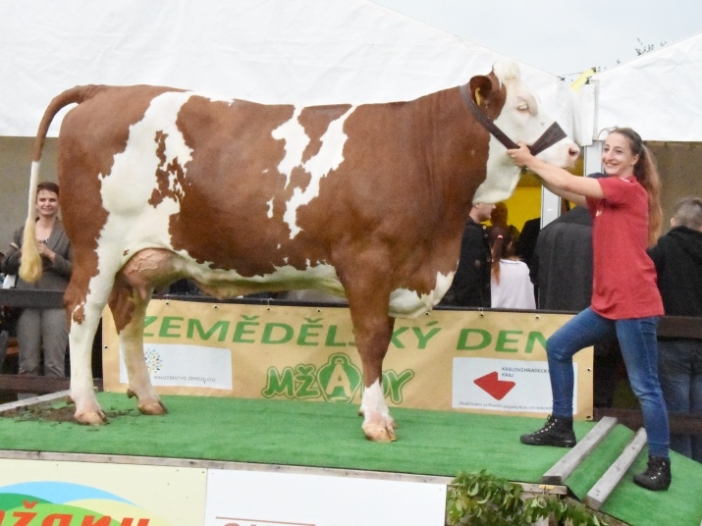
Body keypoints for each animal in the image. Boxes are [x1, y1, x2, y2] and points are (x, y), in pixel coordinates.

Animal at [22, 60, 580, 442]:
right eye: (523, 107)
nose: (574, 150)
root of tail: (104, 91)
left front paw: (373, 411)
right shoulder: (368, 264)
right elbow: (373, 340)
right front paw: (377, 420)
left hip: (145, 259)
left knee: (128, 315)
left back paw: (148, 398)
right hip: (98, 249)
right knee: (83, 312)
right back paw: (87, 406)